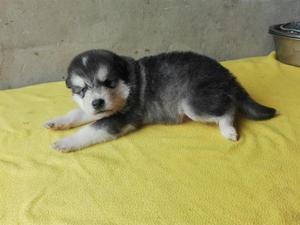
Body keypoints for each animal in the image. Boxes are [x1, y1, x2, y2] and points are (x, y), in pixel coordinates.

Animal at [44, 50, 276, 152]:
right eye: (82, 90)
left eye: (109, 82)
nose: (98, 102)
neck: (127, 86)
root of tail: (227, 75)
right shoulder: (97, 111)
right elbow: (77, 113)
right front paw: (57, 122)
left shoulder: (121, 118)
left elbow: (90, 130)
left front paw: (65, 142)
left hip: (193, 103)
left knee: (228, 109)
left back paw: (228, 130)